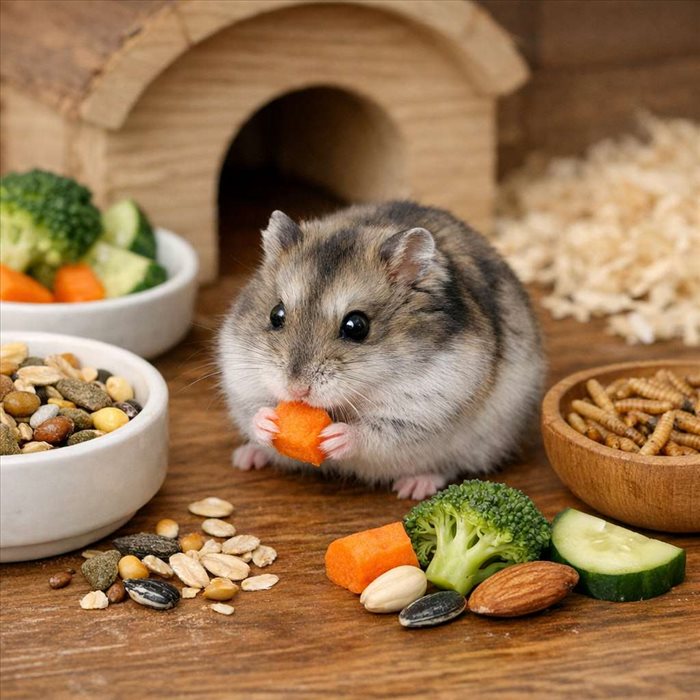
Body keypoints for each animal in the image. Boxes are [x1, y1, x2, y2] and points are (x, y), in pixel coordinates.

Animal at [217, 201, 544, 500]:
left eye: (356, 326)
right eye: (276, 315)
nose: (296, 390)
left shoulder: (422, 408)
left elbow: (375, 433)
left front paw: (335, 436)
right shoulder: (240, 379)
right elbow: (253, 409)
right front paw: (267, 422)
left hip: (482, 441)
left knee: (447, 467)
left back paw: (413, 487)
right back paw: (247, 457)